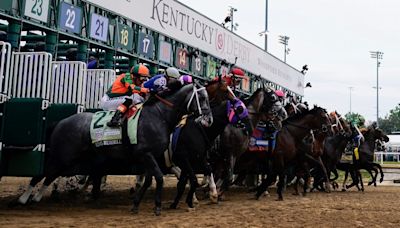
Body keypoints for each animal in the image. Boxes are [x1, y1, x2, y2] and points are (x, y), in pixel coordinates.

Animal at [18, 83, 212, 216]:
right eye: (202, 98)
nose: (208, 119)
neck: (159, 116)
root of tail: (60, 122)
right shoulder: (146, 154)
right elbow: (158, 178)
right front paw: (157, 206)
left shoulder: (150, 156)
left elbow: (149, 180)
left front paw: (136, 204)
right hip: (62, 154)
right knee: (42, 173)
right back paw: (24, 199)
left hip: (70, 158)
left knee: (51, 174)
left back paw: (36, 197)